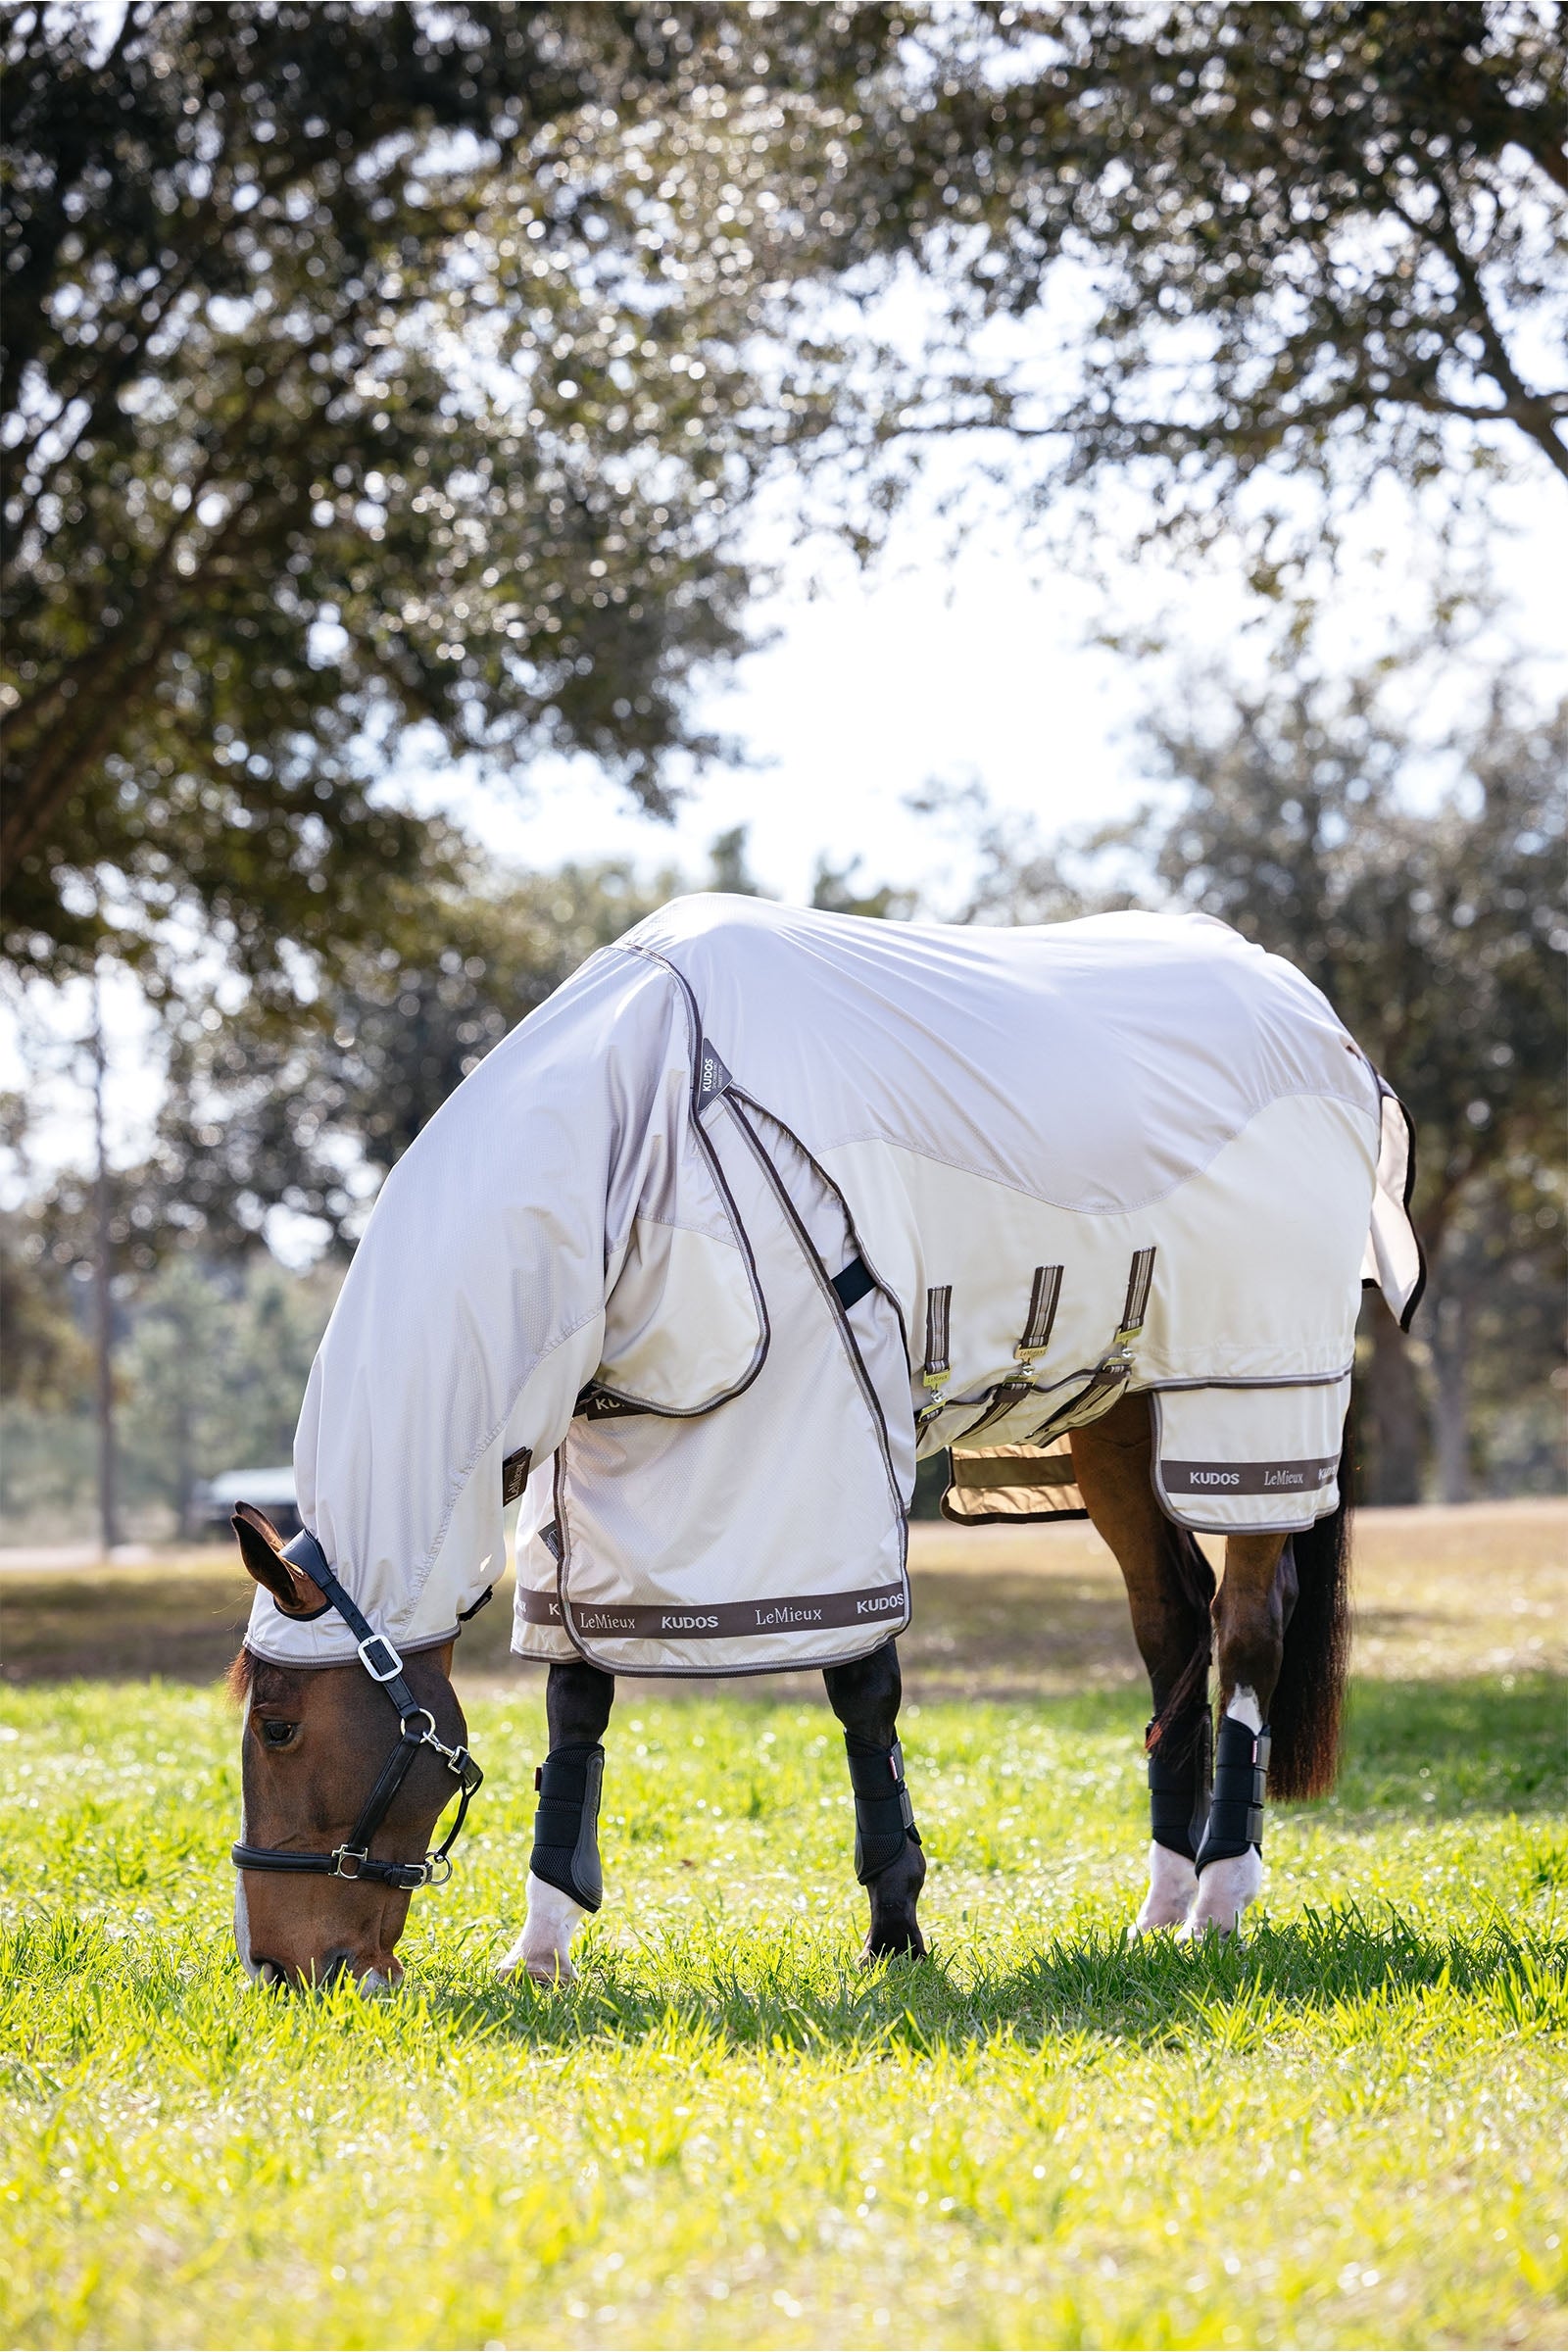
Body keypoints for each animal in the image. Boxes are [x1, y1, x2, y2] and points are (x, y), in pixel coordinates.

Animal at [226, 896, 1421, 1990]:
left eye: (278, 1728)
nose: (277, 1968)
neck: (638, 1132)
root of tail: (1325, 1024)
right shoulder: (595, 1502)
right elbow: (577, 1710)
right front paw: (543, 1949)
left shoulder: (817, 1452)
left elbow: (862, 1694)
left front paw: (896, 1930)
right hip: (1118, 1420)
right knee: (1173, 1629)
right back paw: (1160, 1908)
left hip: (1251, 1401)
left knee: (1248, 1629)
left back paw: (1219, 1903)